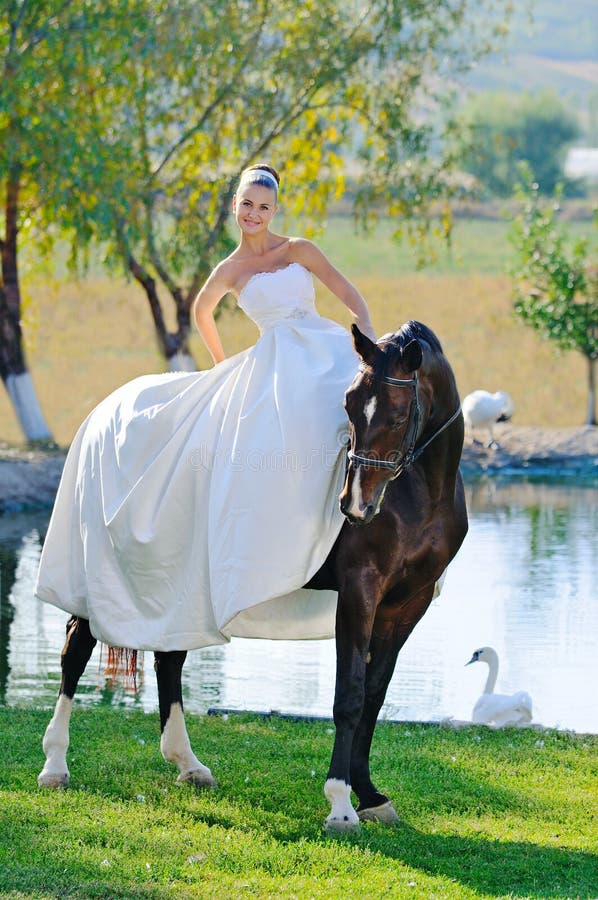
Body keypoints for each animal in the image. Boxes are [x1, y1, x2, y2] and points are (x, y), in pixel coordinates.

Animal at [38, 320, 468, 833]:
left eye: (400, 416)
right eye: (347, 405)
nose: (354, 506)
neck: (420, 494)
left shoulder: (406, 602)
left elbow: (374, 696)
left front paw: (369, 795)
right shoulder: (359, 591)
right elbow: (349, 695)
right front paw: (341, 804)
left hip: (178, 583)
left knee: (169, 658)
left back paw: (187, 764)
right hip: (99, 580)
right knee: (75, 650)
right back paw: (55, 765)